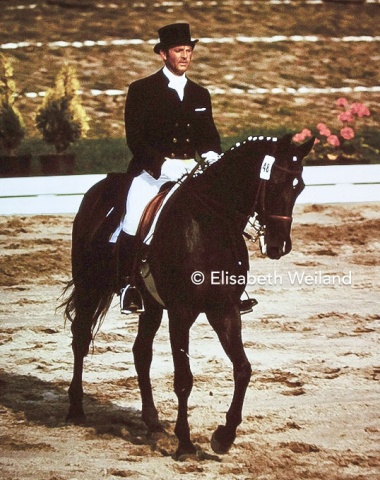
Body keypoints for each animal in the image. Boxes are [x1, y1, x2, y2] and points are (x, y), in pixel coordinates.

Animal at [60, 133, 314, 460]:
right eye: (273, 183)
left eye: (299, 186)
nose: (278, 246)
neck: (209, 225)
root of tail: (98, 187)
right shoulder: (181, 313)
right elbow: (183, 379)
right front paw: (185, 444)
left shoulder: (224, 310)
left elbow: (243, 369)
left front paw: (224, 436)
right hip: (89, 285)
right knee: (80, 337)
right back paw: (76, 409)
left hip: (150, 305)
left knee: (141, 352)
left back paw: (152, 422)